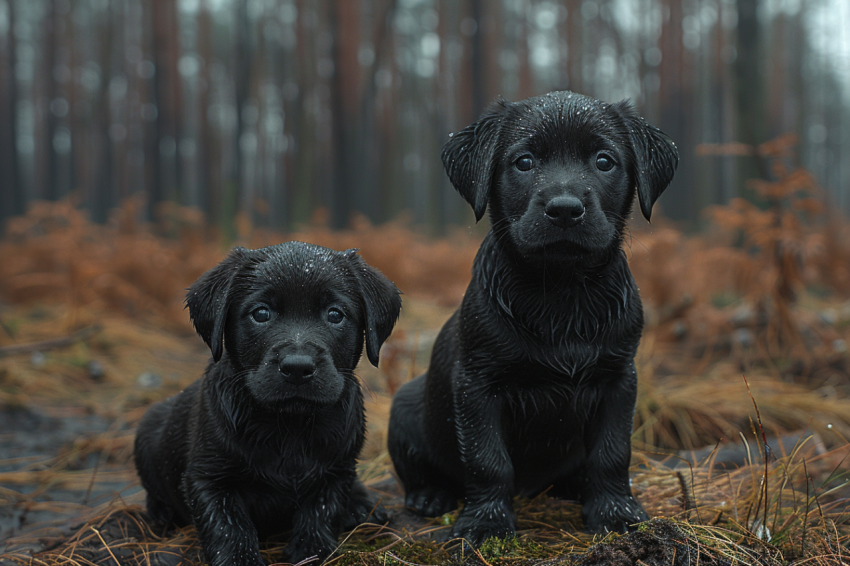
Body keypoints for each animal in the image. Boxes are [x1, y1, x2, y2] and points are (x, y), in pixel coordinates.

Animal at [134, 243, 400, 566]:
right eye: (261, 313)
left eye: (335, 314)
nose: (297, 367)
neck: (289, 426)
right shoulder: (208, 478)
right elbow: (228, 526)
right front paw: (240, 559)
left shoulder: (337, 471)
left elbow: (322, 510)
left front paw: (313, 550)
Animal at [390, 91, 676, 544]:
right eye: (524, 162)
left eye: (604, 161)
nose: (565, 210)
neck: (561, 293)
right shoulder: (477, 384)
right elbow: (487, 460)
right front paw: (487, 524)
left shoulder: (618, 380)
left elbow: (612, 453)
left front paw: (616, 514)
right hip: (403, 406)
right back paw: (430, 496)